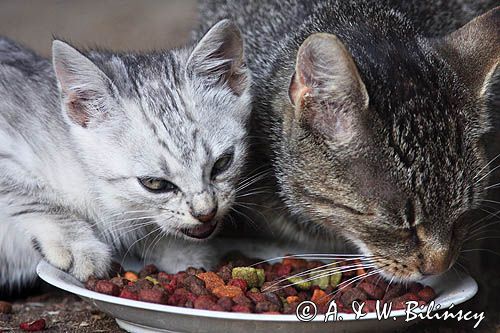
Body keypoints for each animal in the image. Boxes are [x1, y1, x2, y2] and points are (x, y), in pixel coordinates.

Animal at [0, 19, 250, 292]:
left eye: (223, 163)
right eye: (154, 183)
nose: (206, 213)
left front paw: (178, 250)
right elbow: (30, 194)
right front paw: (78, 246)